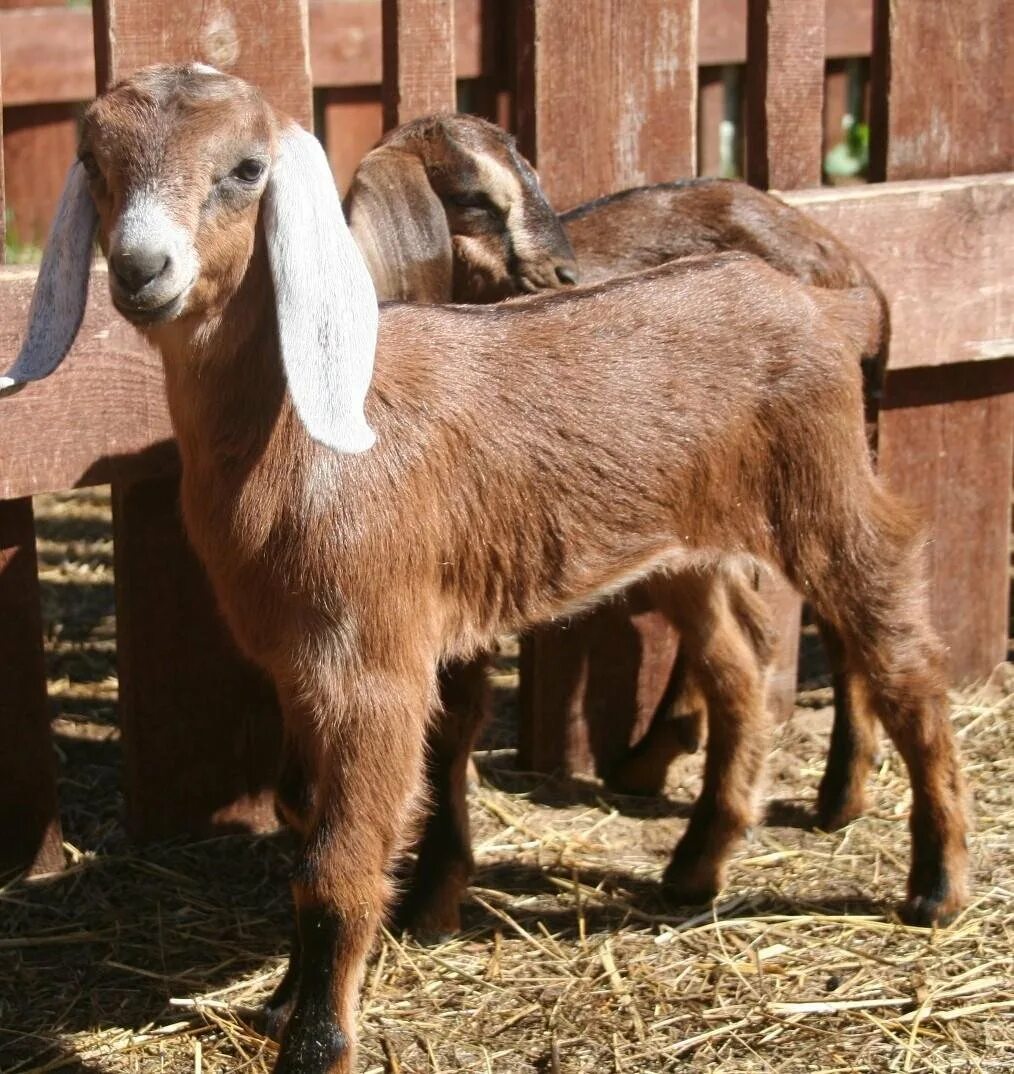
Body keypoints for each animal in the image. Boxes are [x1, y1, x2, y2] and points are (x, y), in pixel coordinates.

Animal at [3, 69, 971, 1074]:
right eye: (93, 161)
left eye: (245, 169)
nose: (141, 268)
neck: (298, 430)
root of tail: (823, 296)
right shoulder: (300, 663)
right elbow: (305, 817)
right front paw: (280, 1002)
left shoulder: (377, 664)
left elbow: (338, 866)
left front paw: (316, 1042)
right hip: (685, 543)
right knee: (741, 672)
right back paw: (695, 867)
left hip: (825, 484)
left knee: (901, 653)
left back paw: (935, 882)